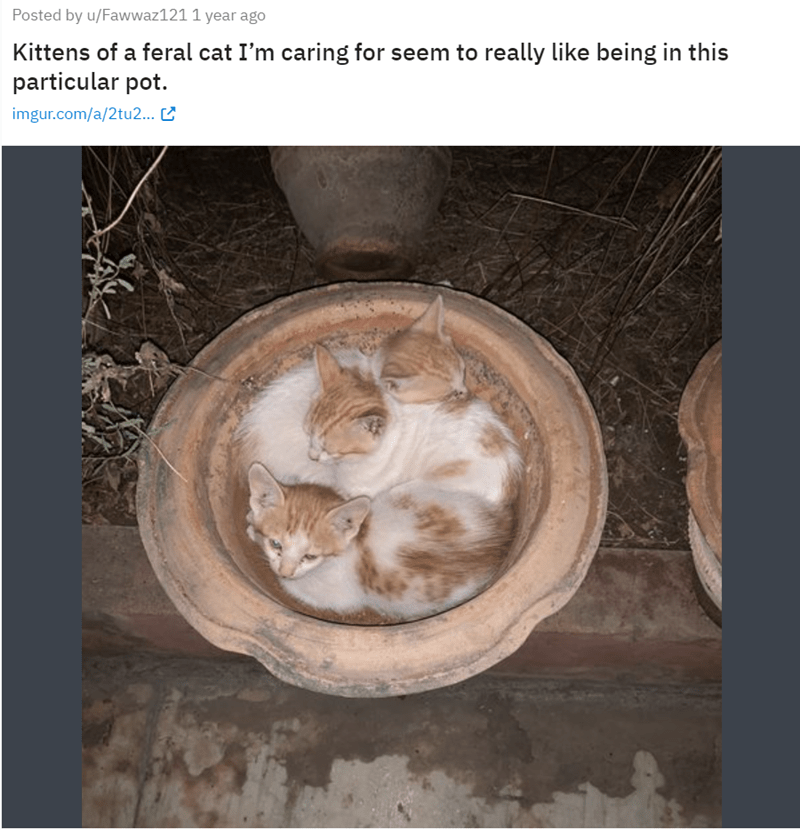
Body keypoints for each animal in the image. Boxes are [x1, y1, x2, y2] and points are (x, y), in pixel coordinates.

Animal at [245, 464, 512, 620]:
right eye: (276, 544)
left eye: (310, 556)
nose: (285, 571)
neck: (357, 541)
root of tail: (499, 534)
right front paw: (253, 519)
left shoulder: (335, 597)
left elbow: (294, 588)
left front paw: (251, 528)